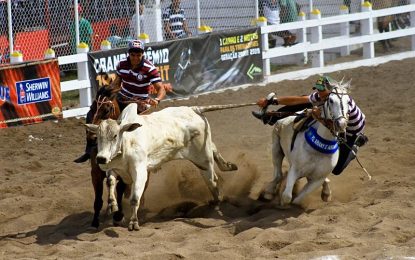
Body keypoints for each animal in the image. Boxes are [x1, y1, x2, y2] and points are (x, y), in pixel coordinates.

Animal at [86, 102, 252, 231]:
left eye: (114, 136)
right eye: (98, 137)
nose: (100, 158)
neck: (127, 142)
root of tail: (193, 109)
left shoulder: (140, 172)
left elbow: (134, 198)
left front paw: (133, 222)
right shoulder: (114, 168)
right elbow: (110, 182)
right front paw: (112, 205)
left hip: (203, 159)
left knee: (213, 181)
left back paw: (217, 204)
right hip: (204, 154)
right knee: (214, 150)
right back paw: (228, 166)